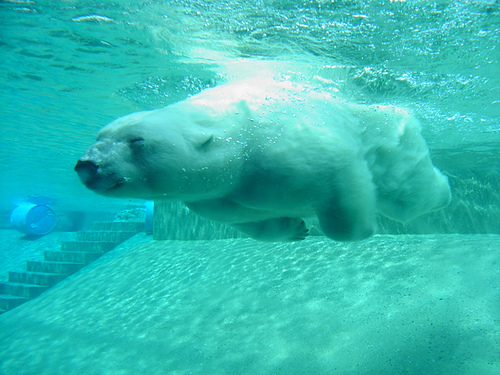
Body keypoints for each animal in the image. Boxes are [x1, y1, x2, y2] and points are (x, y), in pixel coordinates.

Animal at [75, 79, 454, 244]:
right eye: (99, 136)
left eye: (137, 141)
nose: (87, 165)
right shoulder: (212, 197)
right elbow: (246, 220)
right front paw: (294, 228)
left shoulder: (280, 152)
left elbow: (339, 170)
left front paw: (359, 228)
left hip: (389, 140)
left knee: (409, 191)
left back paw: (445, 191)